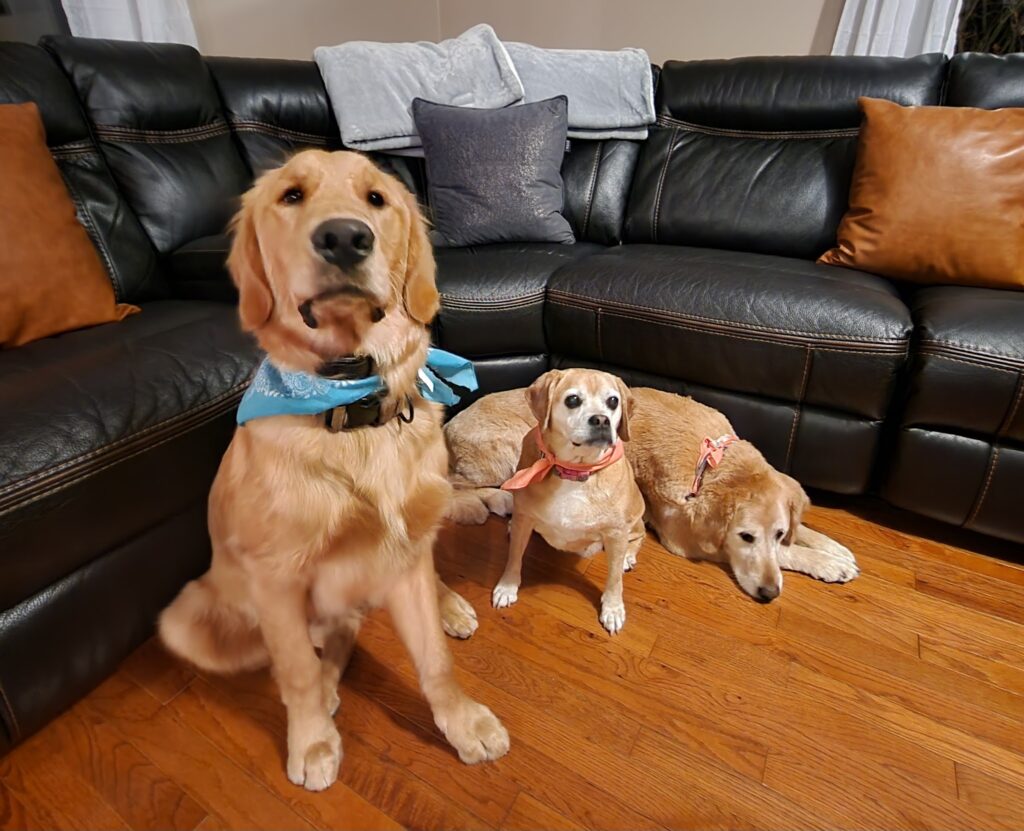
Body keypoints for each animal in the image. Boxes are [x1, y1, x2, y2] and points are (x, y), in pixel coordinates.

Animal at [158, 150, 508, 793]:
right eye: (291, 196)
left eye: (377, 199)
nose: (344, 237)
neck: (355, 404)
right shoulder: (276, 580)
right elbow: (295, 670)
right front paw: (314, 741)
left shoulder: (401, 553)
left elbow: (435, 661)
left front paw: (463, 723)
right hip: (188, 619)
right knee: (328, 637)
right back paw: (326, 695)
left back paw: (449, 596)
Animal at [445, 385, 857, 601]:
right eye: (746, 537)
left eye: (778, 531)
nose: (770, 593)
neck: (713, 462)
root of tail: (449, 424)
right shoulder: (686, 538)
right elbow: (785, 555)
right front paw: (827, 564)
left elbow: (799, 533)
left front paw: (833, 548)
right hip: (514, 449)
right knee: (459, 483)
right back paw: (494, 503)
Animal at [488, 369, 645, 634]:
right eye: (572, 400)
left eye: (613, 401)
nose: (601, 420)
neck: (574, 469)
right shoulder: (525, 517)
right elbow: (514, 556)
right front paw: (507, 586)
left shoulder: (615, 532)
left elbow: (614, 578)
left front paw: (613, 608)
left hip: (634, 515)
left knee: (639, 535)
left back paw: (627, 556)